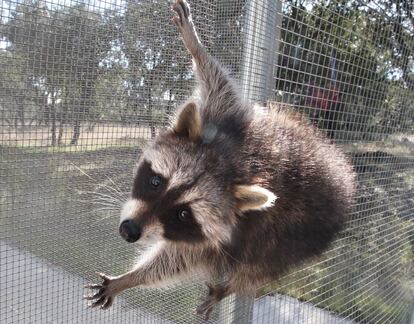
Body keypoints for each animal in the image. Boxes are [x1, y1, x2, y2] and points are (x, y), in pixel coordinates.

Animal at [84, 0, 356, 318]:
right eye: (155, 181)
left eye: (183, 214)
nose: (129, 231)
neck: (235, 164)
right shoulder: (230, 123)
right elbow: (220, 85)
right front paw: (196, 46)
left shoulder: (227, 232)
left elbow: (180, 258)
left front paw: (132, 278)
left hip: (291, 243)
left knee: (256, 270)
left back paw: (230, 287)